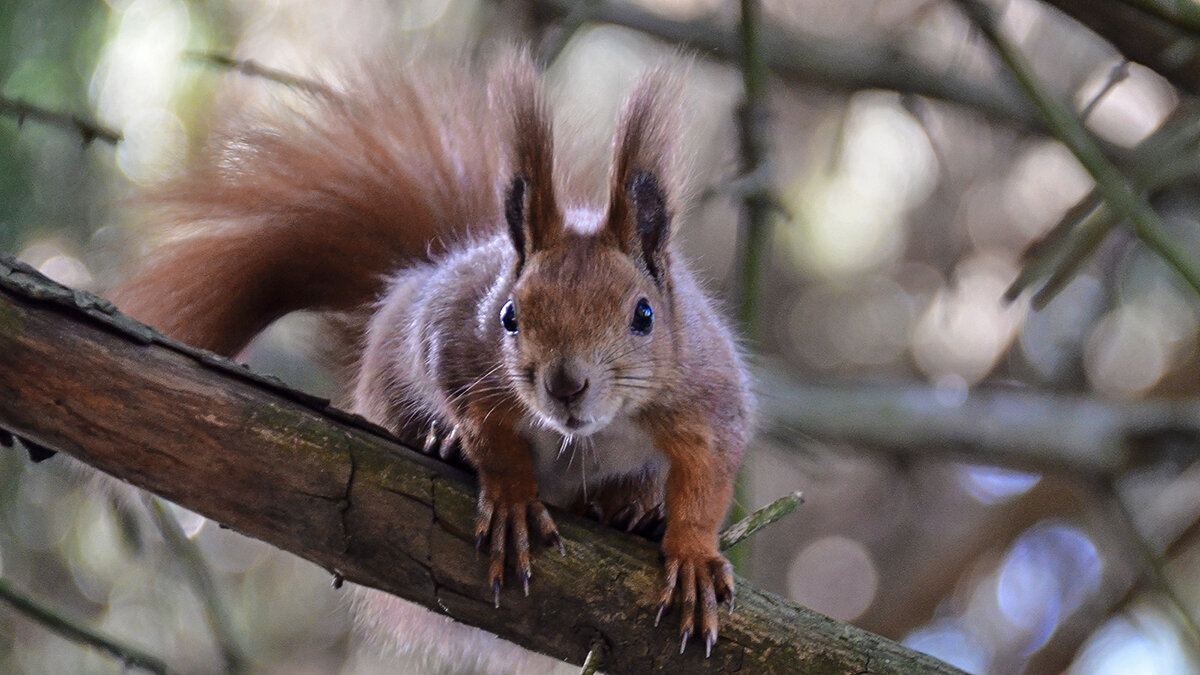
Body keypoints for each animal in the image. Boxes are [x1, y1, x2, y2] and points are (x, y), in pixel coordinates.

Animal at [112, 49, 748, 658]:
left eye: (645, 315)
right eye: (509, 316)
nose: (566, 386)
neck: (589, 434)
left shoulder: (708, 395)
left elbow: (708, 476)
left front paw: (692, 552)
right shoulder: (456, 345)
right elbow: (487, 428)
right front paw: (511, 494)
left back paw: (632, 509)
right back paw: (442, 443)